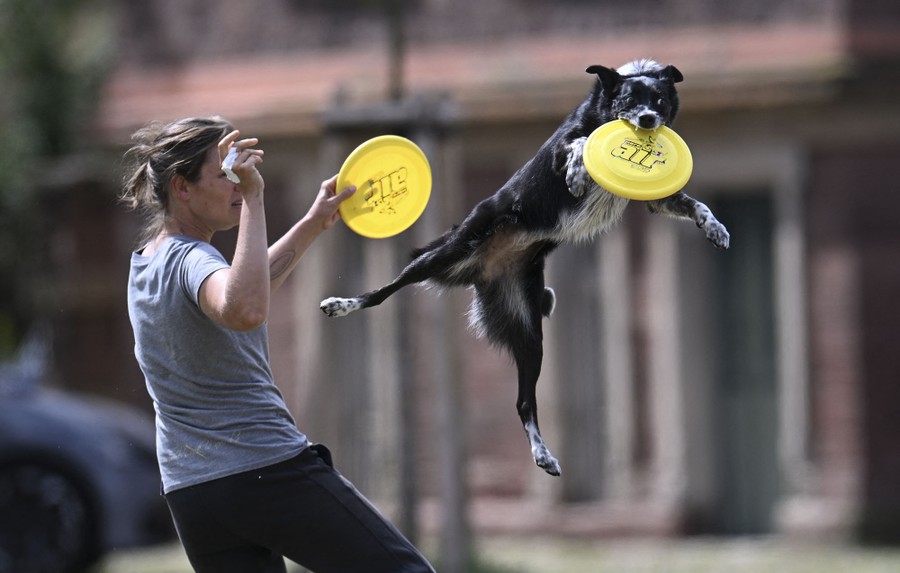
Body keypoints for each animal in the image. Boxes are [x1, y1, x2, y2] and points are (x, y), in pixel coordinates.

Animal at [320, 60, 728, 476]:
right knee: (386, 290)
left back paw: (543, 454)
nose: (647, 120)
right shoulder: (563, 147)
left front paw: (715, 228)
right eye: (630, 100)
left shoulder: (658, 200)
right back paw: (341, 304)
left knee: (524, 402)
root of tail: (484, 270)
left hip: (530, 335)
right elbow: (579, 144)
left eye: (659, 100)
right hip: (446, 253)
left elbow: (695, 205)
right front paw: (578, 174)